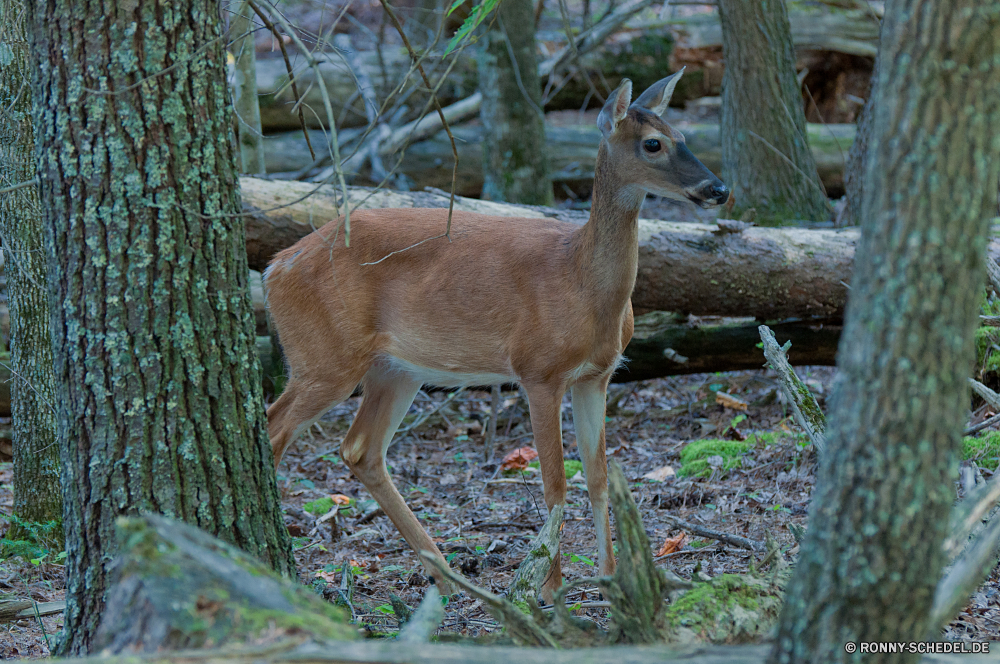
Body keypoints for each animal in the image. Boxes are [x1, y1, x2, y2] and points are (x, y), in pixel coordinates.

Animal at [266, 71, 732, 596]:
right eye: (653, 143)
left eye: (683, 135)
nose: (718, 189)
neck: (580, 281)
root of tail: (274, 266)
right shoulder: (538, 369)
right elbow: (554, 482)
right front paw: (549, 588)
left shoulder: (597, 375)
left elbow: (598, 476)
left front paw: (611, 577)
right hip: (324, 355)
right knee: (274, 428)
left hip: (396, 368)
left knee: (360, 449)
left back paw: (448, 577)